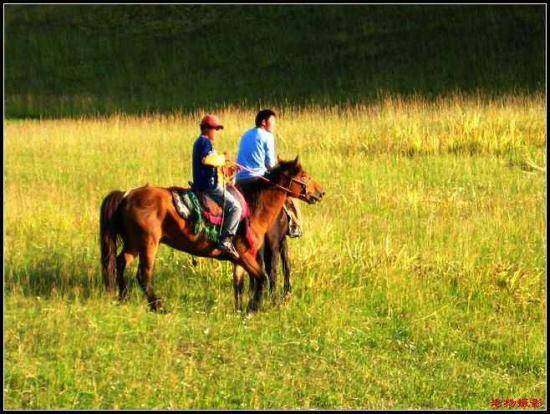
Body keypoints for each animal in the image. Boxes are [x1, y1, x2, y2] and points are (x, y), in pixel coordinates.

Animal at [100, 157, 324, 312]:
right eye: (304, 176)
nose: (321, 192)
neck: (254, 206)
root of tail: (127, 195)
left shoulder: (239, 259)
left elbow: (239, 283)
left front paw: (240, 309)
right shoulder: (246, 254)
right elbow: (262, 277)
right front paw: (254, 308)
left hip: (133, 244)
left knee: (120, 262)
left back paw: (123, 297)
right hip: (148, 244)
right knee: (143, 274)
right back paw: (158, 306)